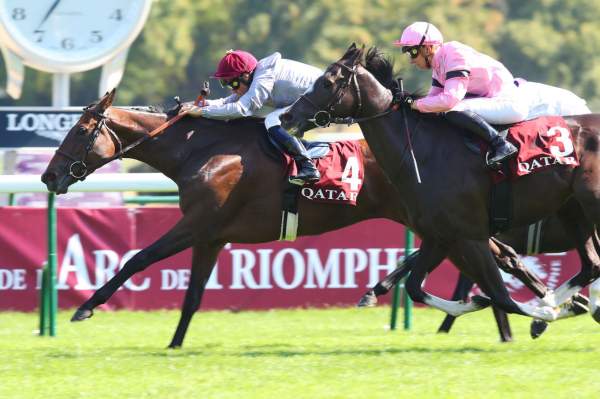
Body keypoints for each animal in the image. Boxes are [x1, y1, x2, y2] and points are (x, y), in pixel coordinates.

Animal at [280, 45, 600, 324]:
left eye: (327, 82)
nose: (287, 115)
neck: (423, 152)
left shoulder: (471, 236)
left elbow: (503, 297)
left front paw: (546, 312)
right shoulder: (440, 236)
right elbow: (415, 286)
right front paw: (479, 302)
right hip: (572, 209)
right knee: (591, 265)